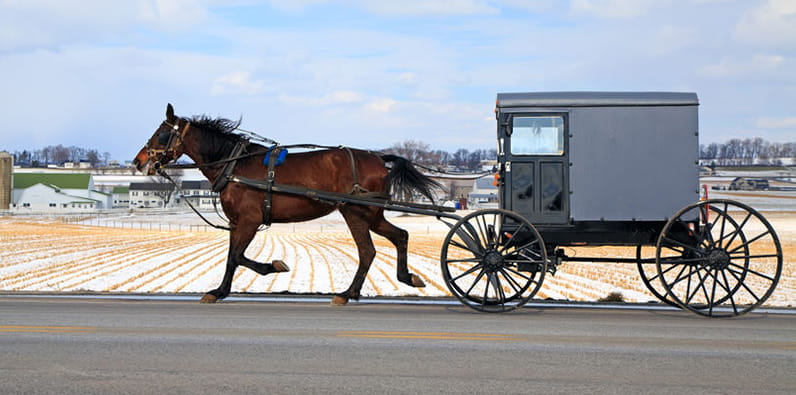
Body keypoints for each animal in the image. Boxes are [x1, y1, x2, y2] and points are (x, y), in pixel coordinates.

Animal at [132, 103, 442, 304]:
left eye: (161, 133)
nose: (138, 161)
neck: (235, 165)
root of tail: (378, 158)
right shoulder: (237, 222)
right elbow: (233, 256)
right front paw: (222, 290)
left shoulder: (249, 220)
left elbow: (237, 257)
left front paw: (270, 268)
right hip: (370, 214)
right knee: (398, 237)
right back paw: (399, 279)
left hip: (356, 212)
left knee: (368, 250)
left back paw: (347, 294)